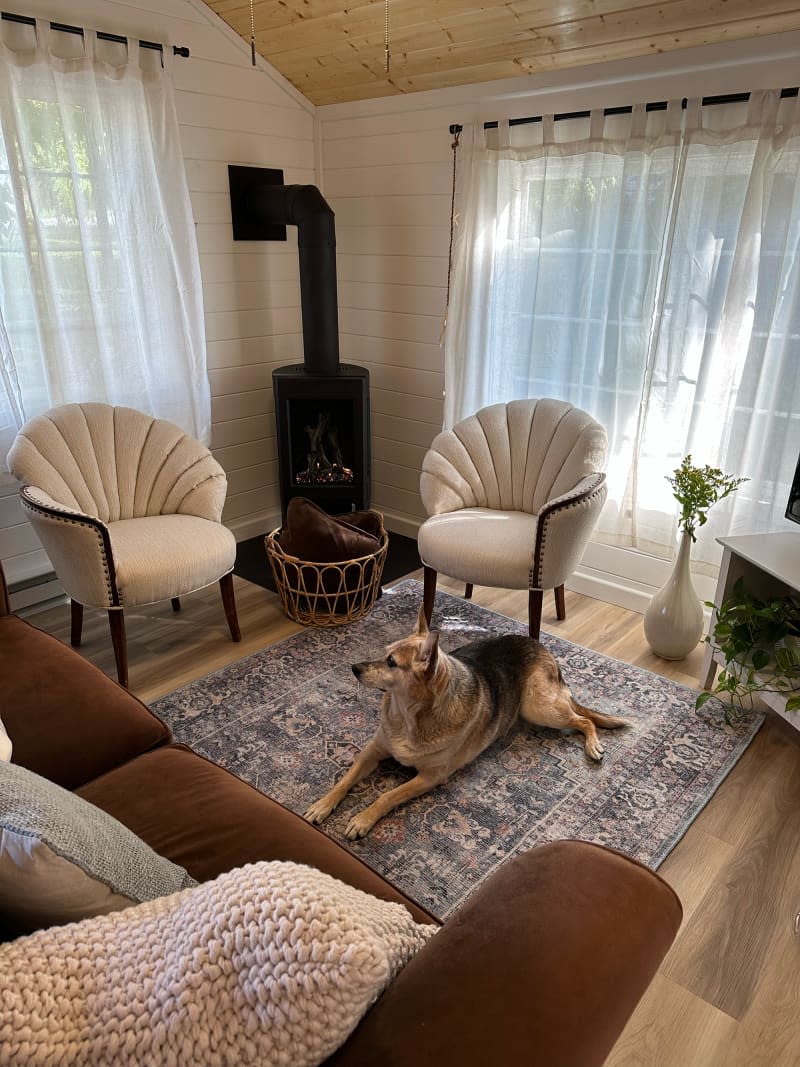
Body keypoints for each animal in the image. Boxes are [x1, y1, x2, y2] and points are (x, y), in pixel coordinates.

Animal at [305, 606, 627, 836]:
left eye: (391, 662)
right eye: (384, 654)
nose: (353, 668)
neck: (409, 716)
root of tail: (540, 646)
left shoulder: (430, 777)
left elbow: (387, 796)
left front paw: (362, 818)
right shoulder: (373, 751)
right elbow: (345, 779)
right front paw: (323, 805)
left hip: (538, 707)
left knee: (583, 720)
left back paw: (593, 746)